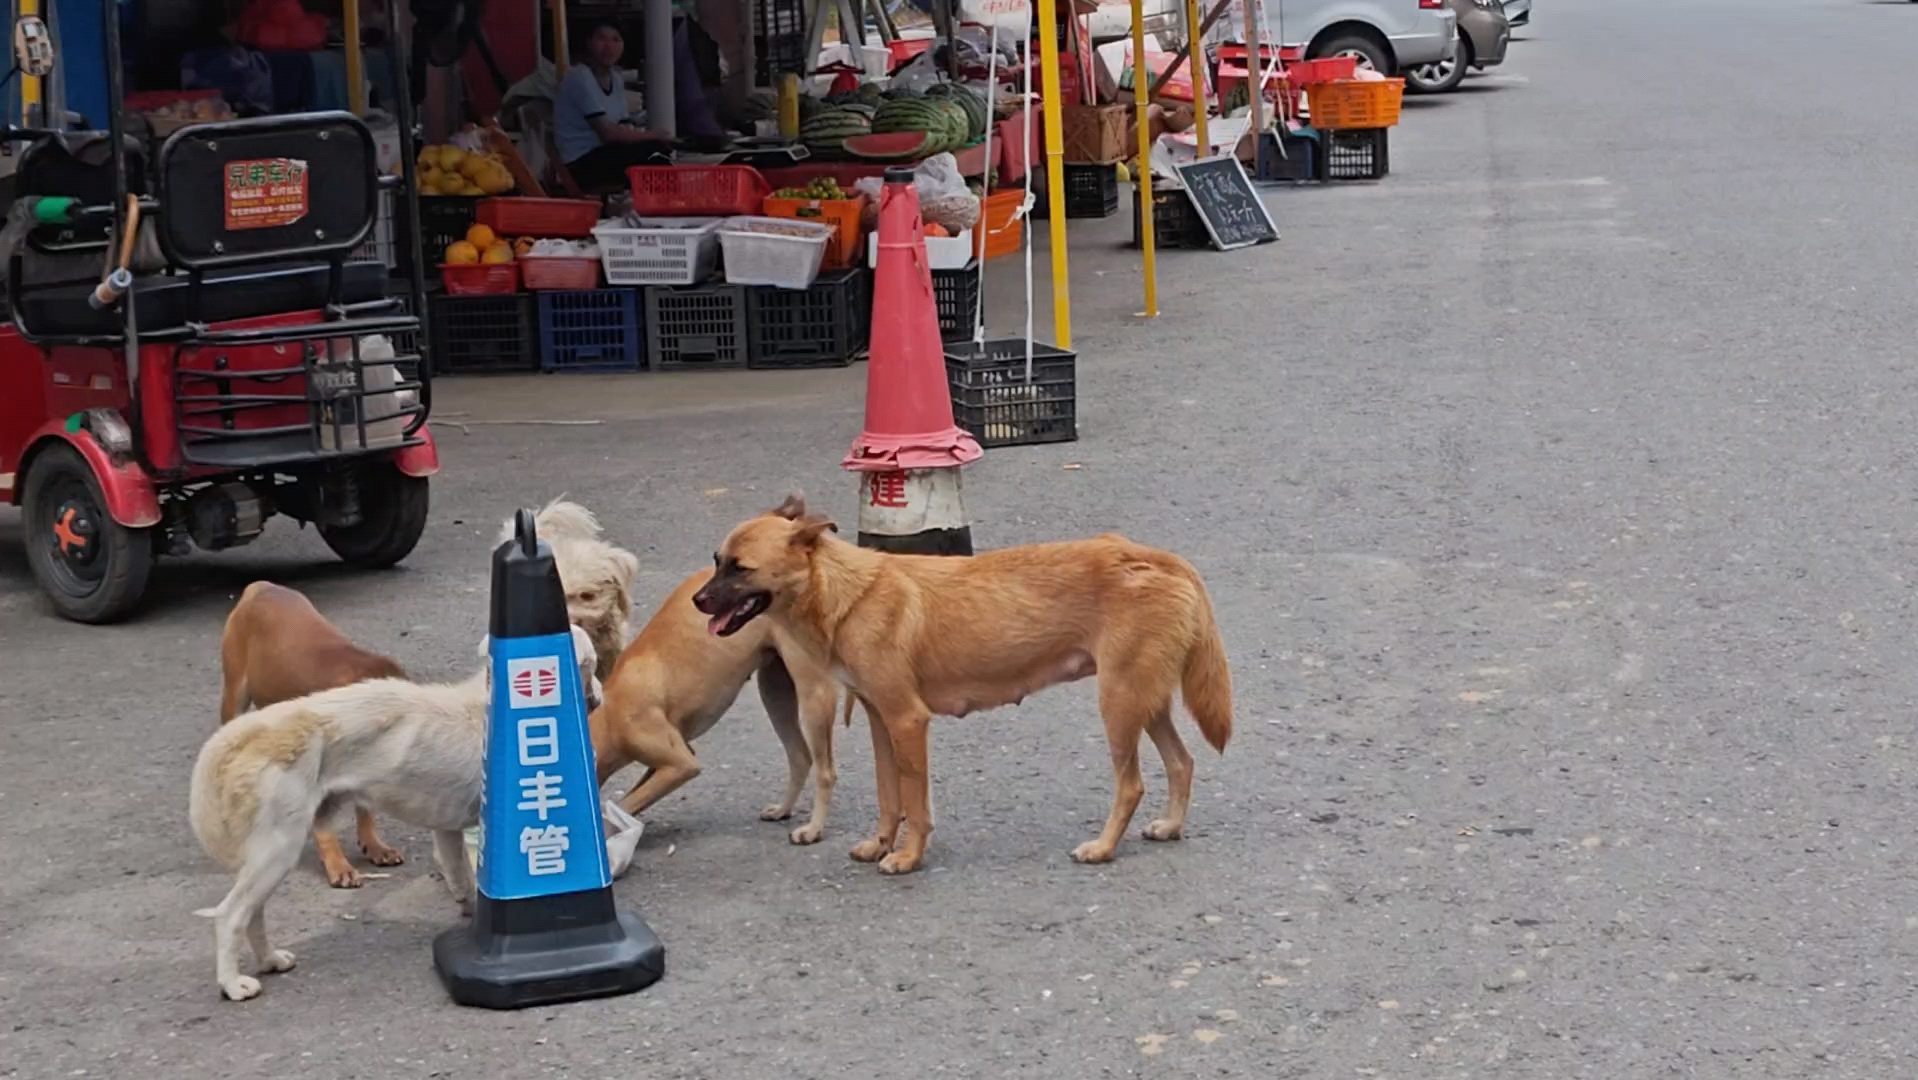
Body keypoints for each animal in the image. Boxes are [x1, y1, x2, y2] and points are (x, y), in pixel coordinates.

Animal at [188, 629, 598, 1005]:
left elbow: (459, 876)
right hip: (278, 848)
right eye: (592, 663)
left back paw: (269, 960)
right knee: (230, 915)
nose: (599, 694)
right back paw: (232, 984)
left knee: (251, 913)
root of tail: (254, 729)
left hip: (269, 855)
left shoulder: (446, 829)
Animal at [698, 494, 1235, 874]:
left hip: (1119, 704)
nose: (696, 601)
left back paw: (1102, 848)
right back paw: (1170, 826)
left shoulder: (907, 721)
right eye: (716, 559)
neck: (849, 593)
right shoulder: (880, 720)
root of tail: (1152, 555)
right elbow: (889, 796)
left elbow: (915, 802)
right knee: (1182, 762)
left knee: (1132, 784)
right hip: (1146, 700)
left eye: (740, 568)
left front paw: (908, 857)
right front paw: (879, 844)